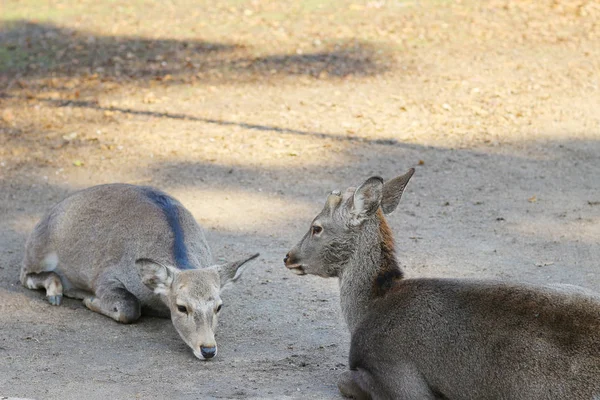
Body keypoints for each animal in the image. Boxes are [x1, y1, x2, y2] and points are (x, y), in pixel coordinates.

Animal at [19, 183, 258, 360]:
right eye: (182, 307)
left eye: (219, 306)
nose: (208, 349)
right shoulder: (105, 277)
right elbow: (129, 307)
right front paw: (89, 300)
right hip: (38, 252)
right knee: (25, 275)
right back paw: (57, 291)